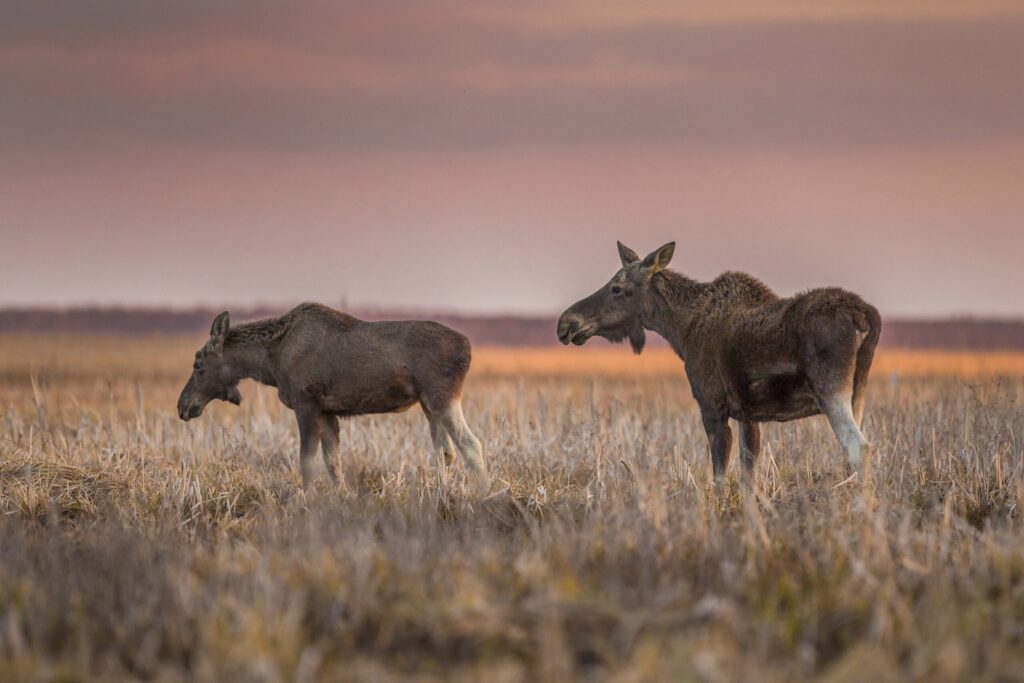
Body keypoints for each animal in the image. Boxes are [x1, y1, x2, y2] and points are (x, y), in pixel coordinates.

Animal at [177, 301, 487, 489]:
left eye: (198, 365)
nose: (182, 406)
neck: (269, 363)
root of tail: (469, 348)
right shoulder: (328, 412)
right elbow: (333, 463)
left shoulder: (306, 404)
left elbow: (307, 462)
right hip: (428, 405)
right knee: (445, 451)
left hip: (442, 397)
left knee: (471, 444)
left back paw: (483, 493)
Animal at [561, 242, 880, 479]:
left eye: (616, 288)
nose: (566, 323)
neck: (681, 330)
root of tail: (866, 314)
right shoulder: (748, 416)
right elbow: (748, 477)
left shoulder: (712, 407)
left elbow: (719, 478)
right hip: (858, 394)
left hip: (831, 390)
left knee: (859, 448)